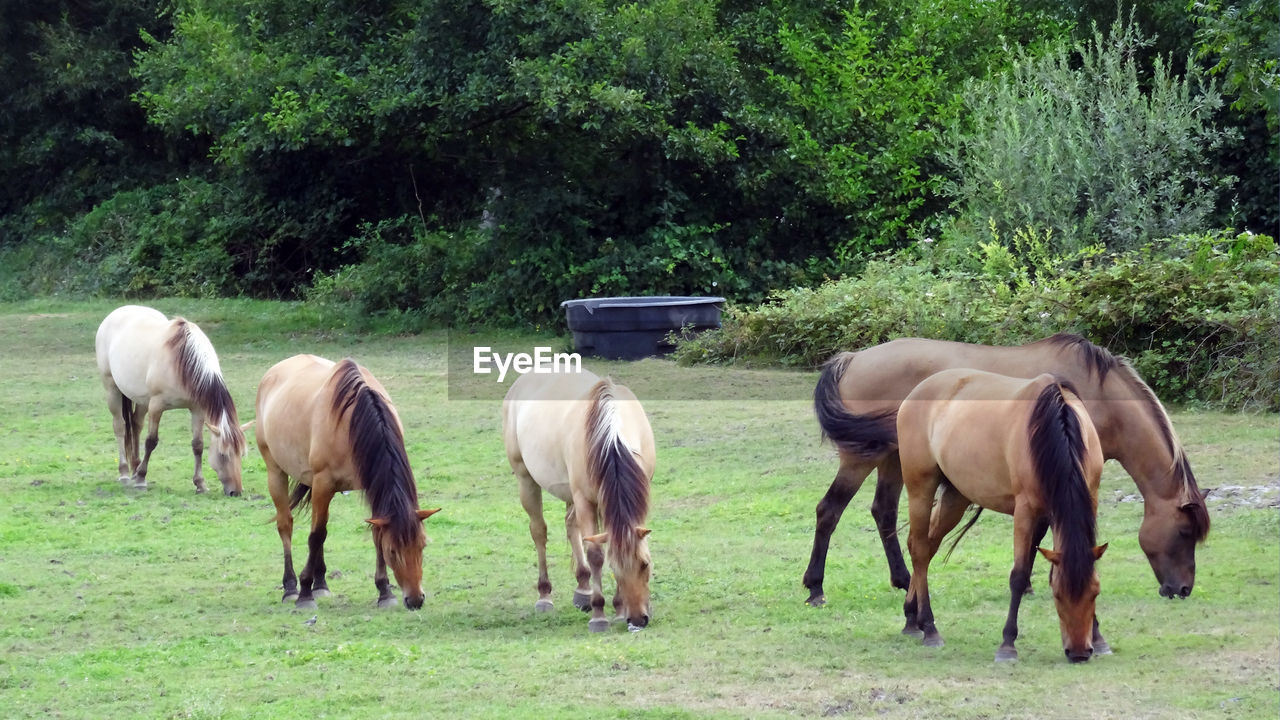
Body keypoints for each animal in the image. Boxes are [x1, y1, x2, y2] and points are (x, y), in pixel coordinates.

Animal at [94, 302, 247, 491]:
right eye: (223, 455)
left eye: (241, 454)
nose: (236, 492)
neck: (183, 361)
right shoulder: (156, 406)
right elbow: (151, 441)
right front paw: (141, 479)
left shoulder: (197, 409)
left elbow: (198, 445)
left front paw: (200, 483)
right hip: (112, 389)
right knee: (120, 427)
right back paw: (124, 473)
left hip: (142, 399)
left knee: (136, 425)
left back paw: (135, 467)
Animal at [252, 351, 442, 604]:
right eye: (393, 551)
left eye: (422, 545)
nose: (415, 600)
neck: (352, 421)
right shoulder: (323, 484)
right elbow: (316, 536)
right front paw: (305, 592)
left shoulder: (368, 486)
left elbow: (372, 534)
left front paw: (384, 591)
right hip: (277, 473)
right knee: (287, 525)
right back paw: (291, 587)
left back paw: (321, 583)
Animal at [501, 366, 655, 630]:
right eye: (615, 568)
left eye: (645, 564)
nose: (638, 619)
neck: (611, 435)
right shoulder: (586, 500)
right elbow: (595, 555)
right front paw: (600, 615)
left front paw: (617, 609)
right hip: (526, 480)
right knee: (539, 532)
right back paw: (545, 595)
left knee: (570, 525)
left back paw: (583, 589)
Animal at [808, 333, 1208, 602]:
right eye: (1184, 532)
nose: (1183, 589)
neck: (1099, 395)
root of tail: (853, 358)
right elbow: (1041, 531)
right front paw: (1035, 581)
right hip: (862, 459)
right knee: (830, 510)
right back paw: (816, 587)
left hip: (894, 459)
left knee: (884, 513)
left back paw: (905, 580)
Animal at [901, 368, 1111, 661]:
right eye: (1057, 595)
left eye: (1095, 592)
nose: (1079, 652)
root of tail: (917, 391)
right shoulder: (1025, 512)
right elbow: (1019, 575)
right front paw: (1007, 643)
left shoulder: (1084, 501)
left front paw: (1100, 637)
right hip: (920, 488)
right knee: (920, 550)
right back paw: (929, 627)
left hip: (956, 496)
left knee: (927, 546)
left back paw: (912, 616)